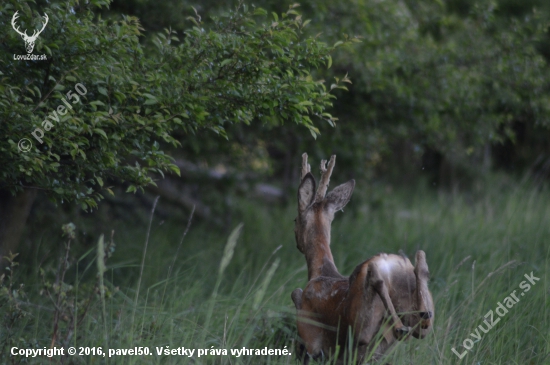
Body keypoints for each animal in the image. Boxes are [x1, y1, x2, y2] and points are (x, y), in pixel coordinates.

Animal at [294, 152, 436, 362]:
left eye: (295, 219)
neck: (319, 271)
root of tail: (391, 267)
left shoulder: (310, 337)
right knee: (422, 325)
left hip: (361, 322)